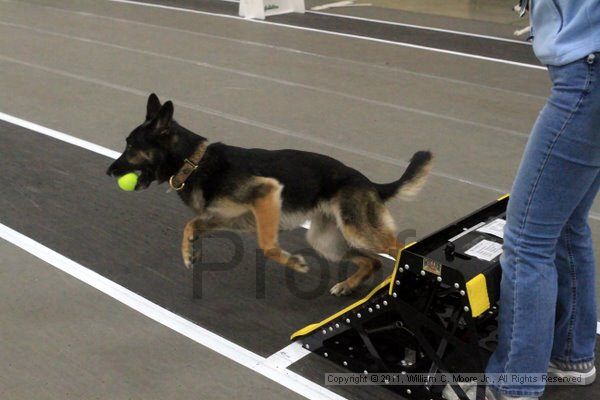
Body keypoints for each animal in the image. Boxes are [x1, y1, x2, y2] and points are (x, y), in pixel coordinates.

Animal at [108, 93, 434, 294]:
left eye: (131, 146)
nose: (110, 171)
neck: (194, 162)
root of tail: (369, 182)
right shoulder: (222, 218)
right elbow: (190, 226)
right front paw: (189, 253)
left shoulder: (266, 194)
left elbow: (267, 246)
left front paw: (294, 263)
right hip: (326, 241)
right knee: (373, 261)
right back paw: (348, 286)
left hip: (358, 230)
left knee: (400, 247)